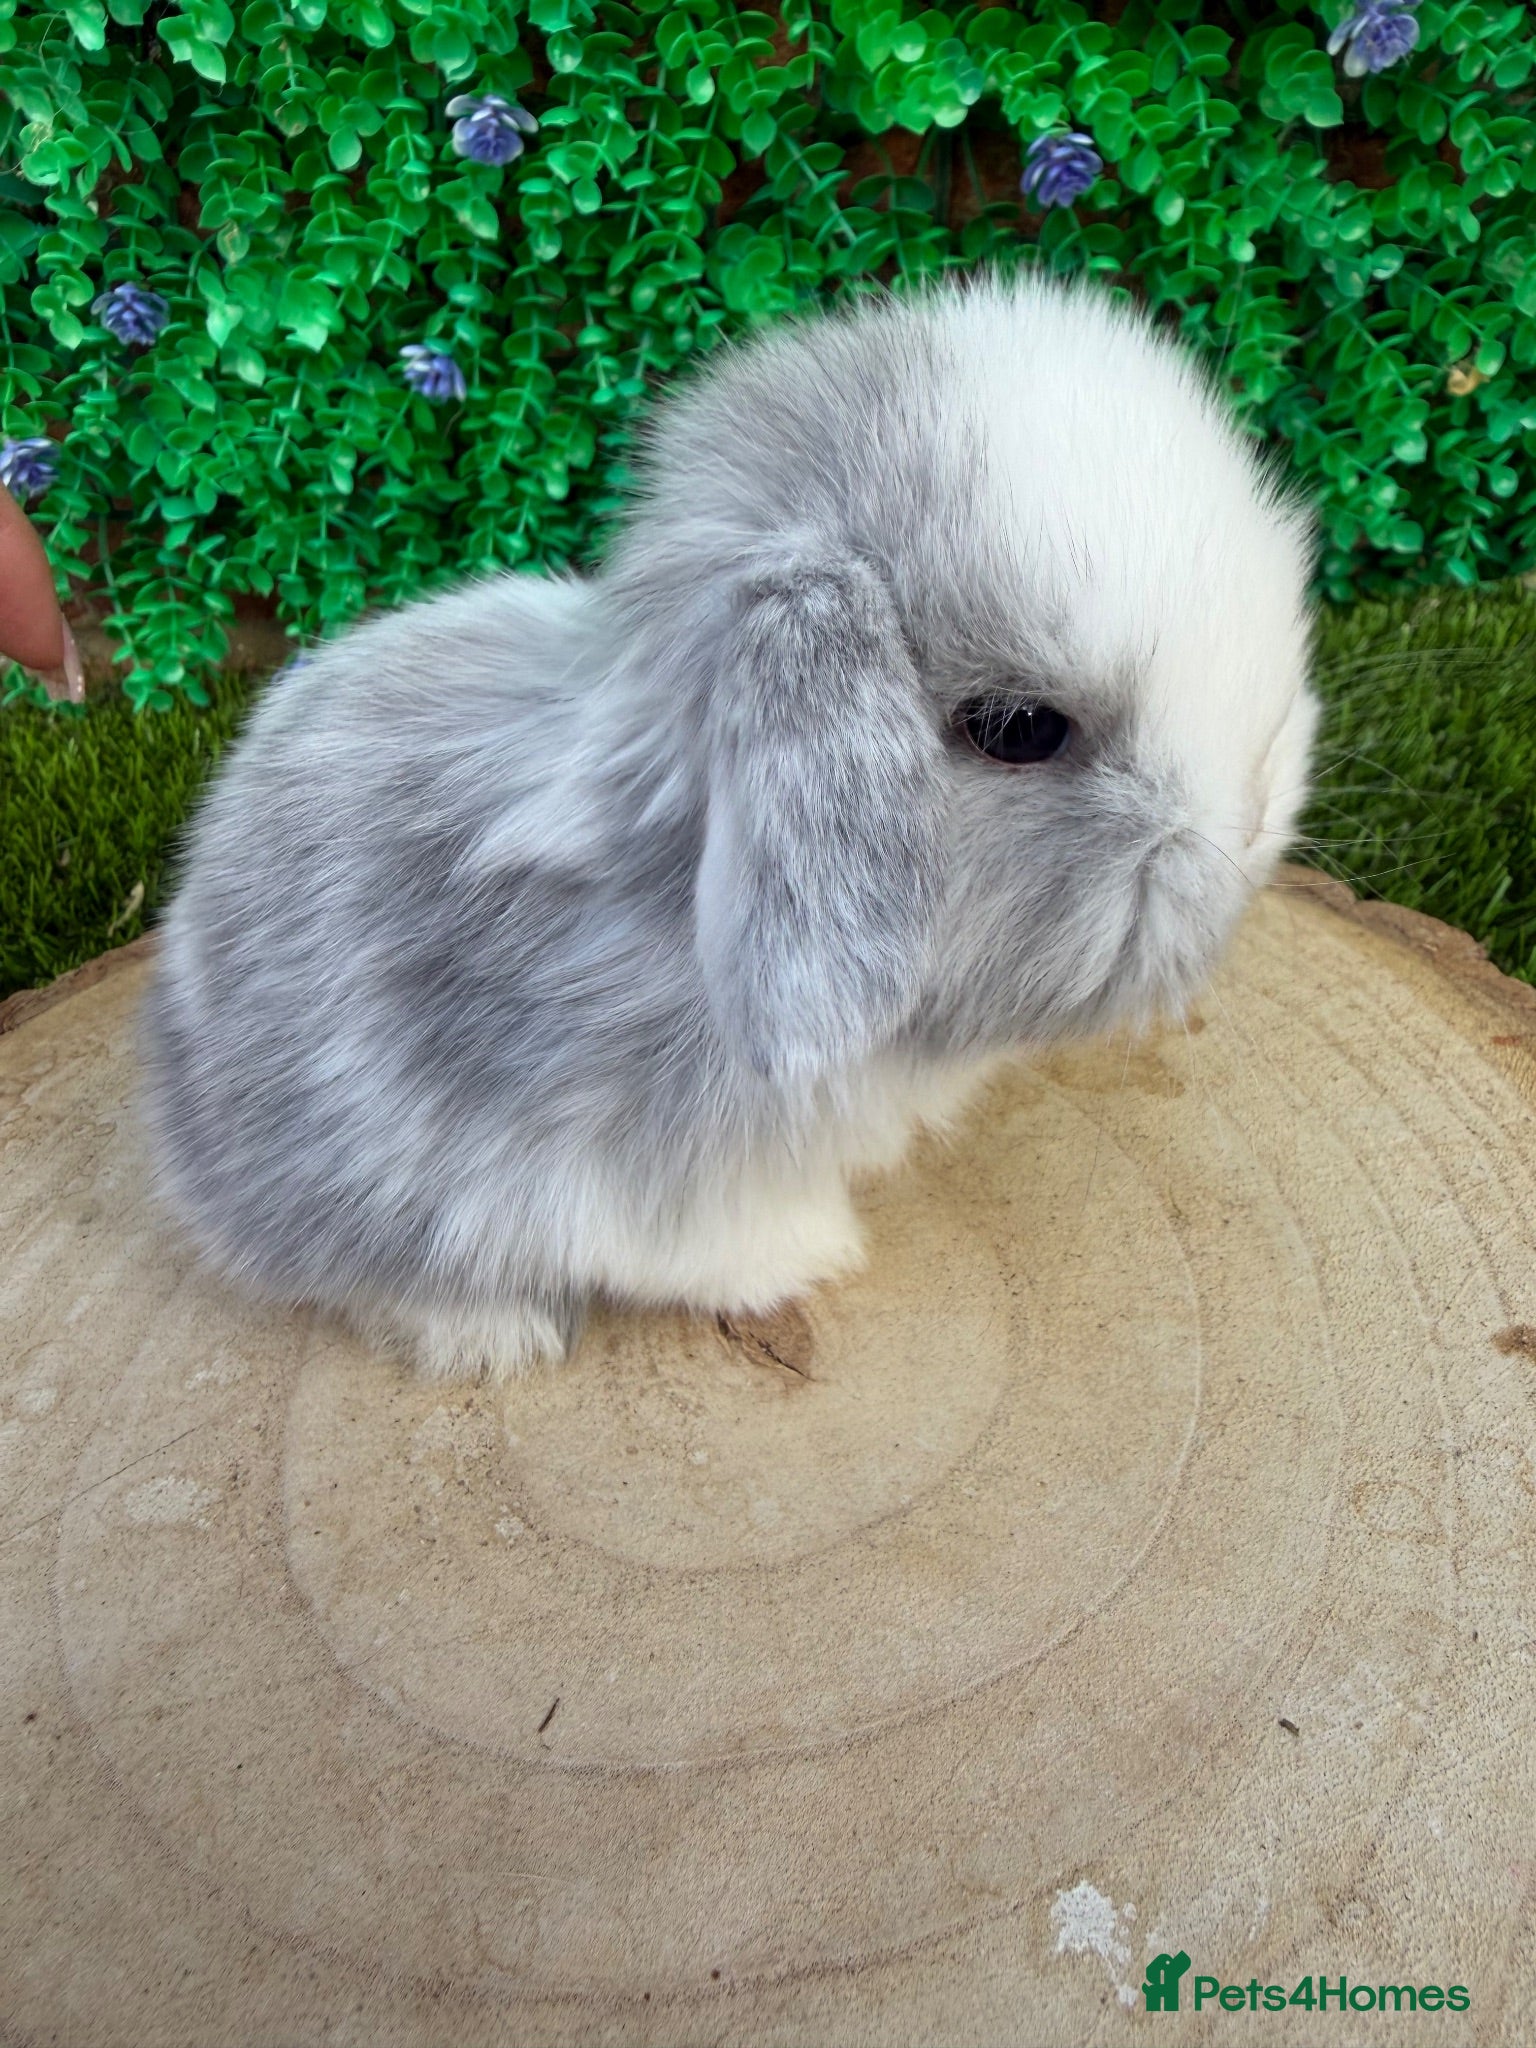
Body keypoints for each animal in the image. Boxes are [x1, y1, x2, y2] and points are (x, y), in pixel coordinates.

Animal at [141, 268, 1320, 1382]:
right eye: (1019, 729)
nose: (1255, 820)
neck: (678, 884)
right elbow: (694, 1237)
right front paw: (811, 1255)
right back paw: (487, 1333)